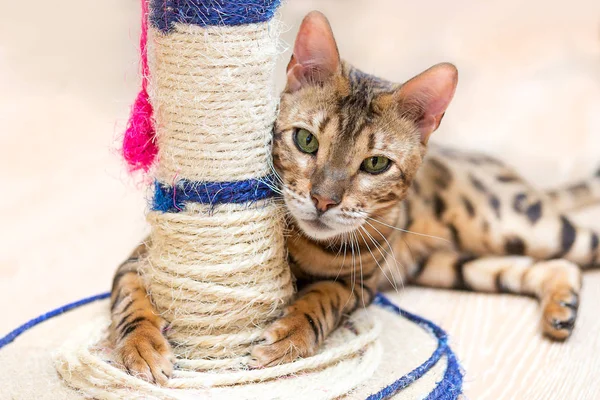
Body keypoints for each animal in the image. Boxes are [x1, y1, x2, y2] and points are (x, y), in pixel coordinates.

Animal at [109, 10, 600, 382]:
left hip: (523, 223)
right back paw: (562, 306)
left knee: (574, 251)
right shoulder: (141, 259)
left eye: (376, 164)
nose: (323, 200)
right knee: (545, 267)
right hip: (453, 264)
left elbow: (322, 298)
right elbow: (129, 298)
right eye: (305, 140)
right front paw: (142, 346)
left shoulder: (359, 284)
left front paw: (290, 334)